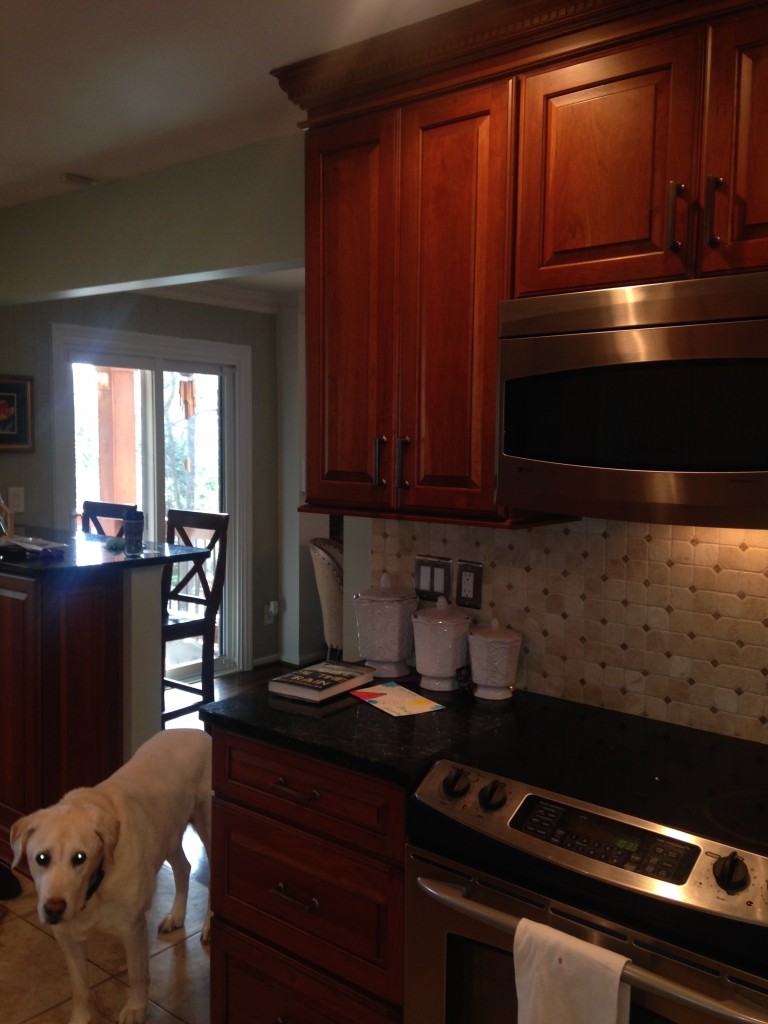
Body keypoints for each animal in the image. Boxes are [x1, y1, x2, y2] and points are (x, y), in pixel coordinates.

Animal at [9, 729, 214, 1024]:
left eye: (79, 857)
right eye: (41, 858)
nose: (53, 909)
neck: (95, 887)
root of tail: (198, 732)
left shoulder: (133, 929)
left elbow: (138, 975)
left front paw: (135, 1009)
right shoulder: (67, 937)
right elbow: (79, 987)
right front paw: (81, 1018)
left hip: (209, 828)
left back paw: (209, 925)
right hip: (168, 834)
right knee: (184, 867)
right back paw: (176, 916)